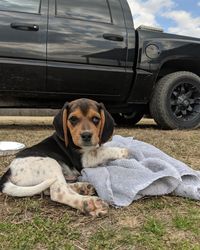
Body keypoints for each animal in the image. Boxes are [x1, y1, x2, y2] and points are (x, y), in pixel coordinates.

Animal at [0, 98, 128, 216]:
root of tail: (9, 171)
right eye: (73, 119)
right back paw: (89, 203)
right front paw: (124, 151)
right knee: (58, 192)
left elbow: (100, 148)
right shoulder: (84, 160)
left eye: (96, 119)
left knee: (50, 190)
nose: (86, 135)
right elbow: (101, 150)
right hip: (51, 164)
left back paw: (82, 187)